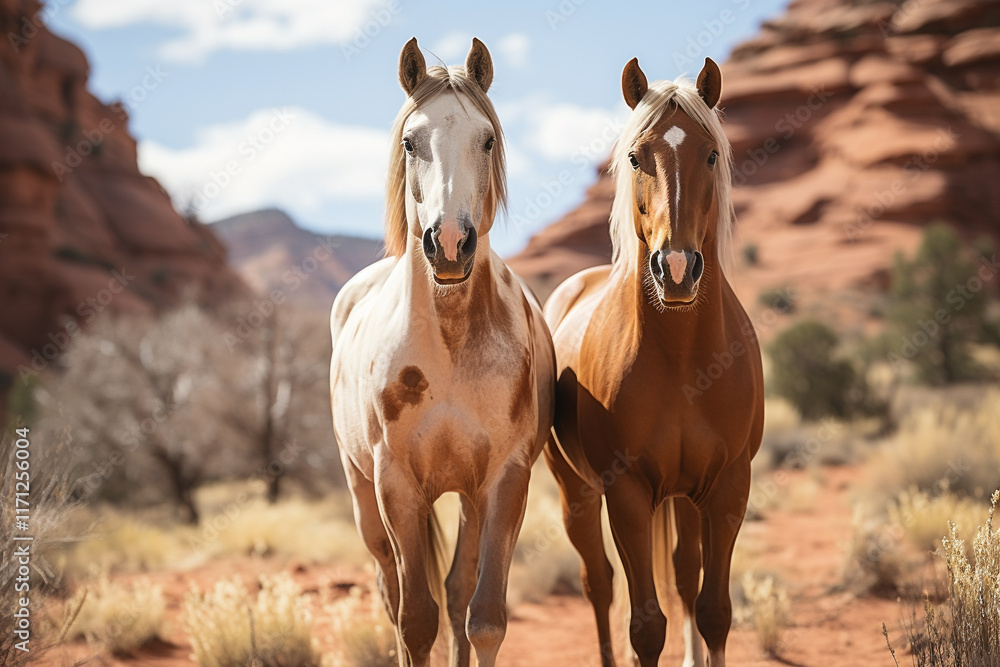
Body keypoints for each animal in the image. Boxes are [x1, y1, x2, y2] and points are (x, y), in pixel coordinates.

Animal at [330, 37, 555, 667]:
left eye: (488, 139)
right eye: (411, 141)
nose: (450, 244)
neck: (451, 344)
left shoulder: (504, 481)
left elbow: (482, 616)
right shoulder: (396, 485)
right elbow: (415, 621)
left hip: (468, 500)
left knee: (456, 593)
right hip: (364, 498)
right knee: (391, 593)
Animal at [542, 57, 764, 667]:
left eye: (710, 155)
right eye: (637, 157)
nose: (678, 269)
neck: (682, 359)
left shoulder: (728, 487)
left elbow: (714, 611)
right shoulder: (628, 495)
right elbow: (646, 627)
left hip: (686, 495)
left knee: (685, 576)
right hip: (576, 493)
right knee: (598, 583)